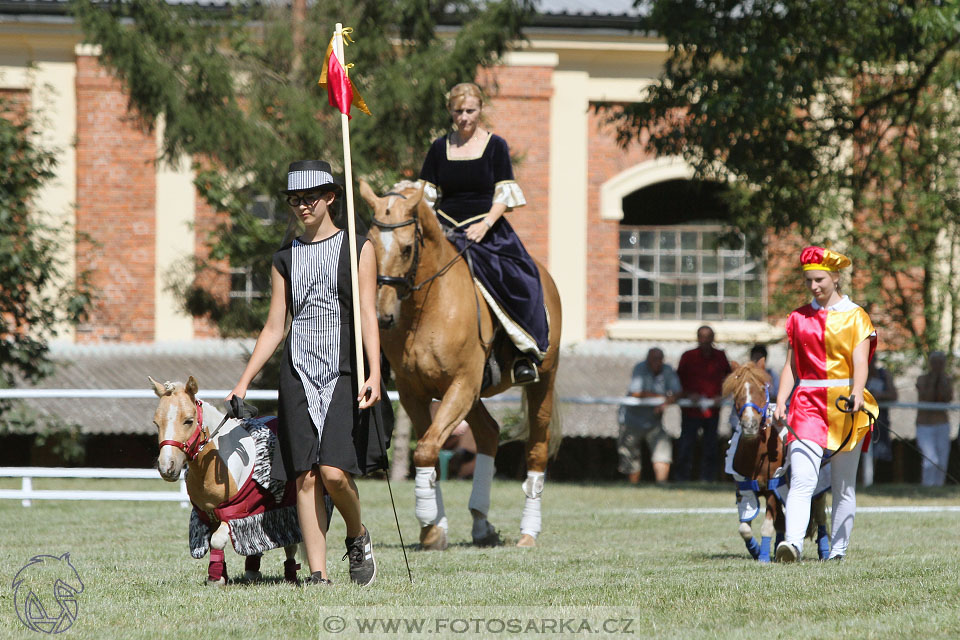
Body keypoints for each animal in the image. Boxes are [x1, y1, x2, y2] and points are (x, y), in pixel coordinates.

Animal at [151, 376, 300, 584]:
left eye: (188, 421)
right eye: (157, 423)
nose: (167, 467)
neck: (216, 466)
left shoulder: (233, 514)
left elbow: (217, 541)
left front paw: (216, 579)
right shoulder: (209, 514)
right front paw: (219, 574)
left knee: (291, 545)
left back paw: (290, 575)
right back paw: (252, 571)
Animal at [356, 180, 560, 552]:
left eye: (407, 249)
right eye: (372, 246)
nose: (381, 317)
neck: (427, 307)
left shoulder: (461, 384)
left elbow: (425, 450)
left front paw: (429, 522)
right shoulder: (414, 392)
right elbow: (429, 449)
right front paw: (433, 528)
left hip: (542, 382)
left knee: (537, 449)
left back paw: (528, 532)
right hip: (474, 394)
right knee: (488, 433)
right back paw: (480, 522)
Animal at [724, 362, 828, 564]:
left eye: (762, 389)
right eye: (736, 391)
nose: (750, 425)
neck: (757, 455)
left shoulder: (773, 490)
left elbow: (767, 526)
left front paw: (763, 556)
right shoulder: (744, 490)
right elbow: (744, 529)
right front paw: (756, 550)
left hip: (817, 488)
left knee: (821, 518)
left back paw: (825, 552)